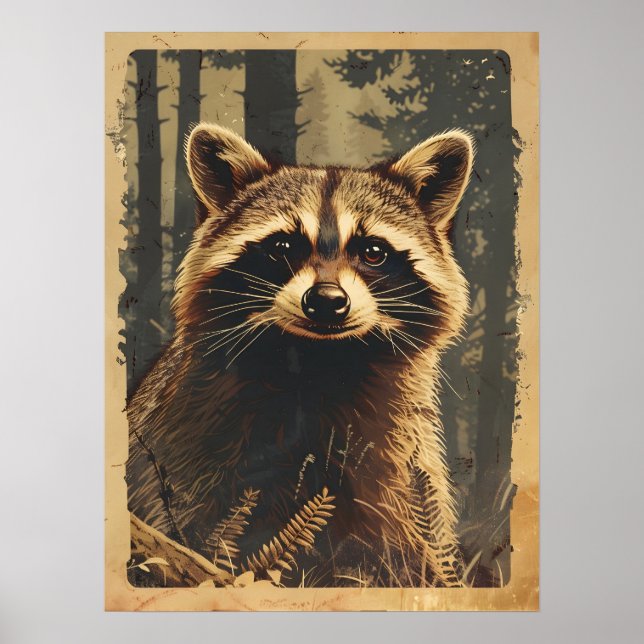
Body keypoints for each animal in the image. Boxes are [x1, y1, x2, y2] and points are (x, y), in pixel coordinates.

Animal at [126, 123, 474, 587]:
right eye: (283, 247)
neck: (320, 362)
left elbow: (403, 542)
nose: (326, 301)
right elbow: (185, 514)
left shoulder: (398, 453)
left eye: (373, 251)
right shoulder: (192, 432)